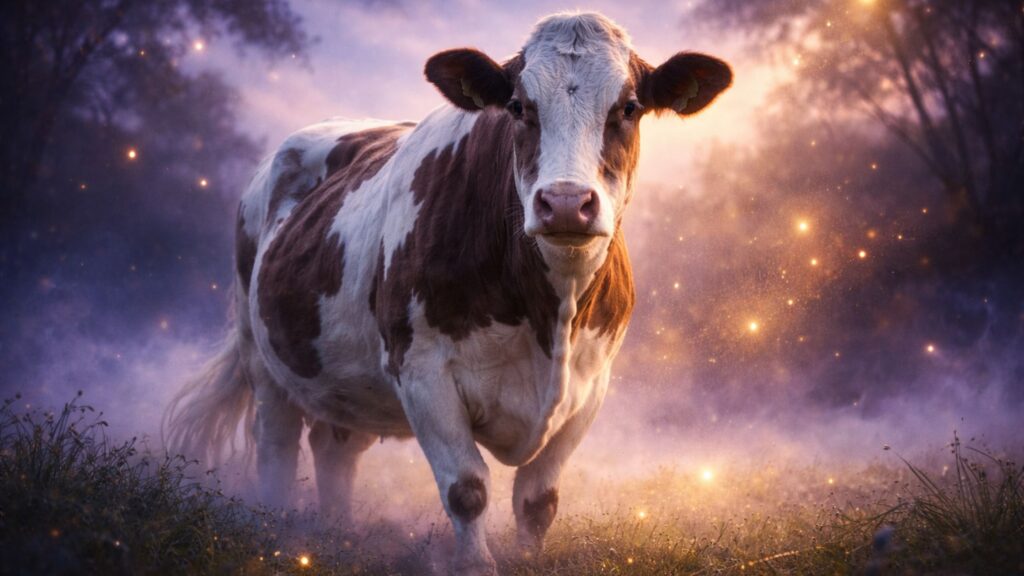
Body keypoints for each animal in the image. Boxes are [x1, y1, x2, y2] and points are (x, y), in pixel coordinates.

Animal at [165, 11, 731, 575]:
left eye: (629, 107)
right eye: (518, 106)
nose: (566, 203)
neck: (550, 313)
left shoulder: (591, 384)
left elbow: (538, 501)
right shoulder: (421, 372)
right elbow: (467, 488)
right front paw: (476, 563)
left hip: (344, 381)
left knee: (335, 447)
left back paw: (337, 535)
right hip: (261, 357)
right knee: (277, 448)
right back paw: (280, 532)